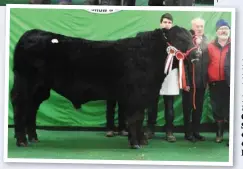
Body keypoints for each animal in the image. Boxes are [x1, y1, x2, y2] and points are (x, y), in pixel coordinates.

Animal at [10, 24, 198, 148]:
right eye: (180, 38)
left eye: (191, 38)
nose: (197, 53)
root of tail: (32, 33)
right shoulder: (136, 95)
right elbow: (135, 118)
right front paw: (136, 143)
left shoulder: (142, 96)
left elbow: (138, 118)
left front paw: (140, 140)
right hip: (26, 83)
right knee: (21, 106)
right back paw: (21, 140)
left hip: (40, 89)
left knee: (32, 108)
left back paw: (33, 137)